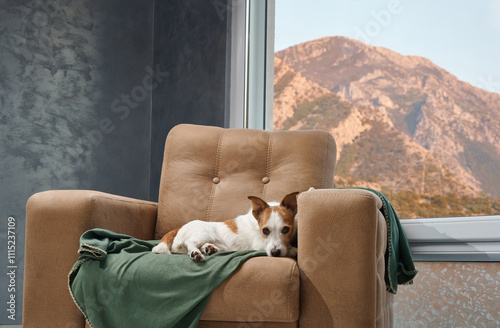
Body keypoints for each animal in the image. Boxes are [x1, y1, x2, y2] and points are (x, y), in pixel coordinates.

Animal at [152, 191, 298, 262]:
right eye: (265, 231)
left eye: (286, 229)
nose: (275, 253)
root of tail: (180, 228)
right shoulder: (259, 244)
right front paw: (294, 250)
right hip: (205, 233)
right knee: (190, 243)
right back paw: (196, 253)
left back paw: (208, 249)